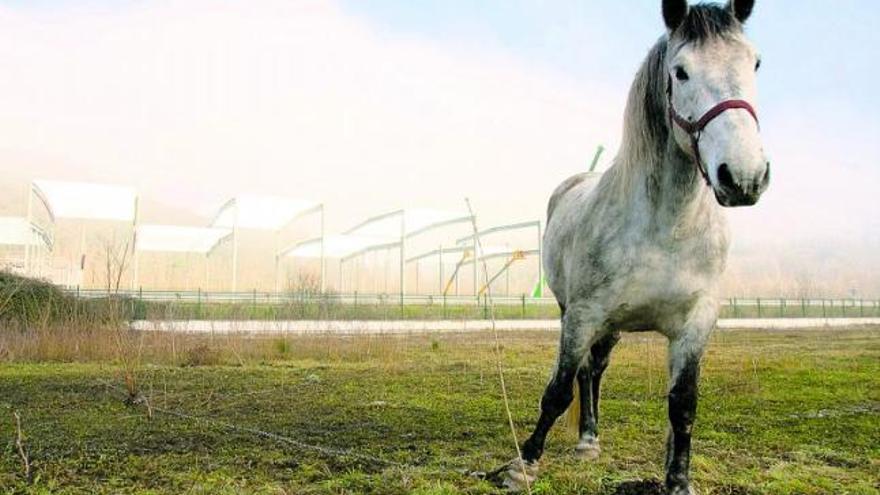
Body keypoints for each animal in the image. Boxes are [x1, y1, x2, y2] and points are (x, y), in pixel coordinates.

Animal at [502, 1, 768, 494]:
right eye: (681, 71)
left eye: (754, 63)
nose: (743, 176)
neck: (666, 229)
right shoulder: (583, 315)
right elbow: (557, 390)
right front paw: (523, 463)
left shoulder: (695, 325)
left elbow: (683, 404)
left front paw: (678, 480)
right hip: (578, 314)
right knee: (584, 372)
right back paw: (585, 440)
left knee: (596, 369)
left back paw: (590, 436)